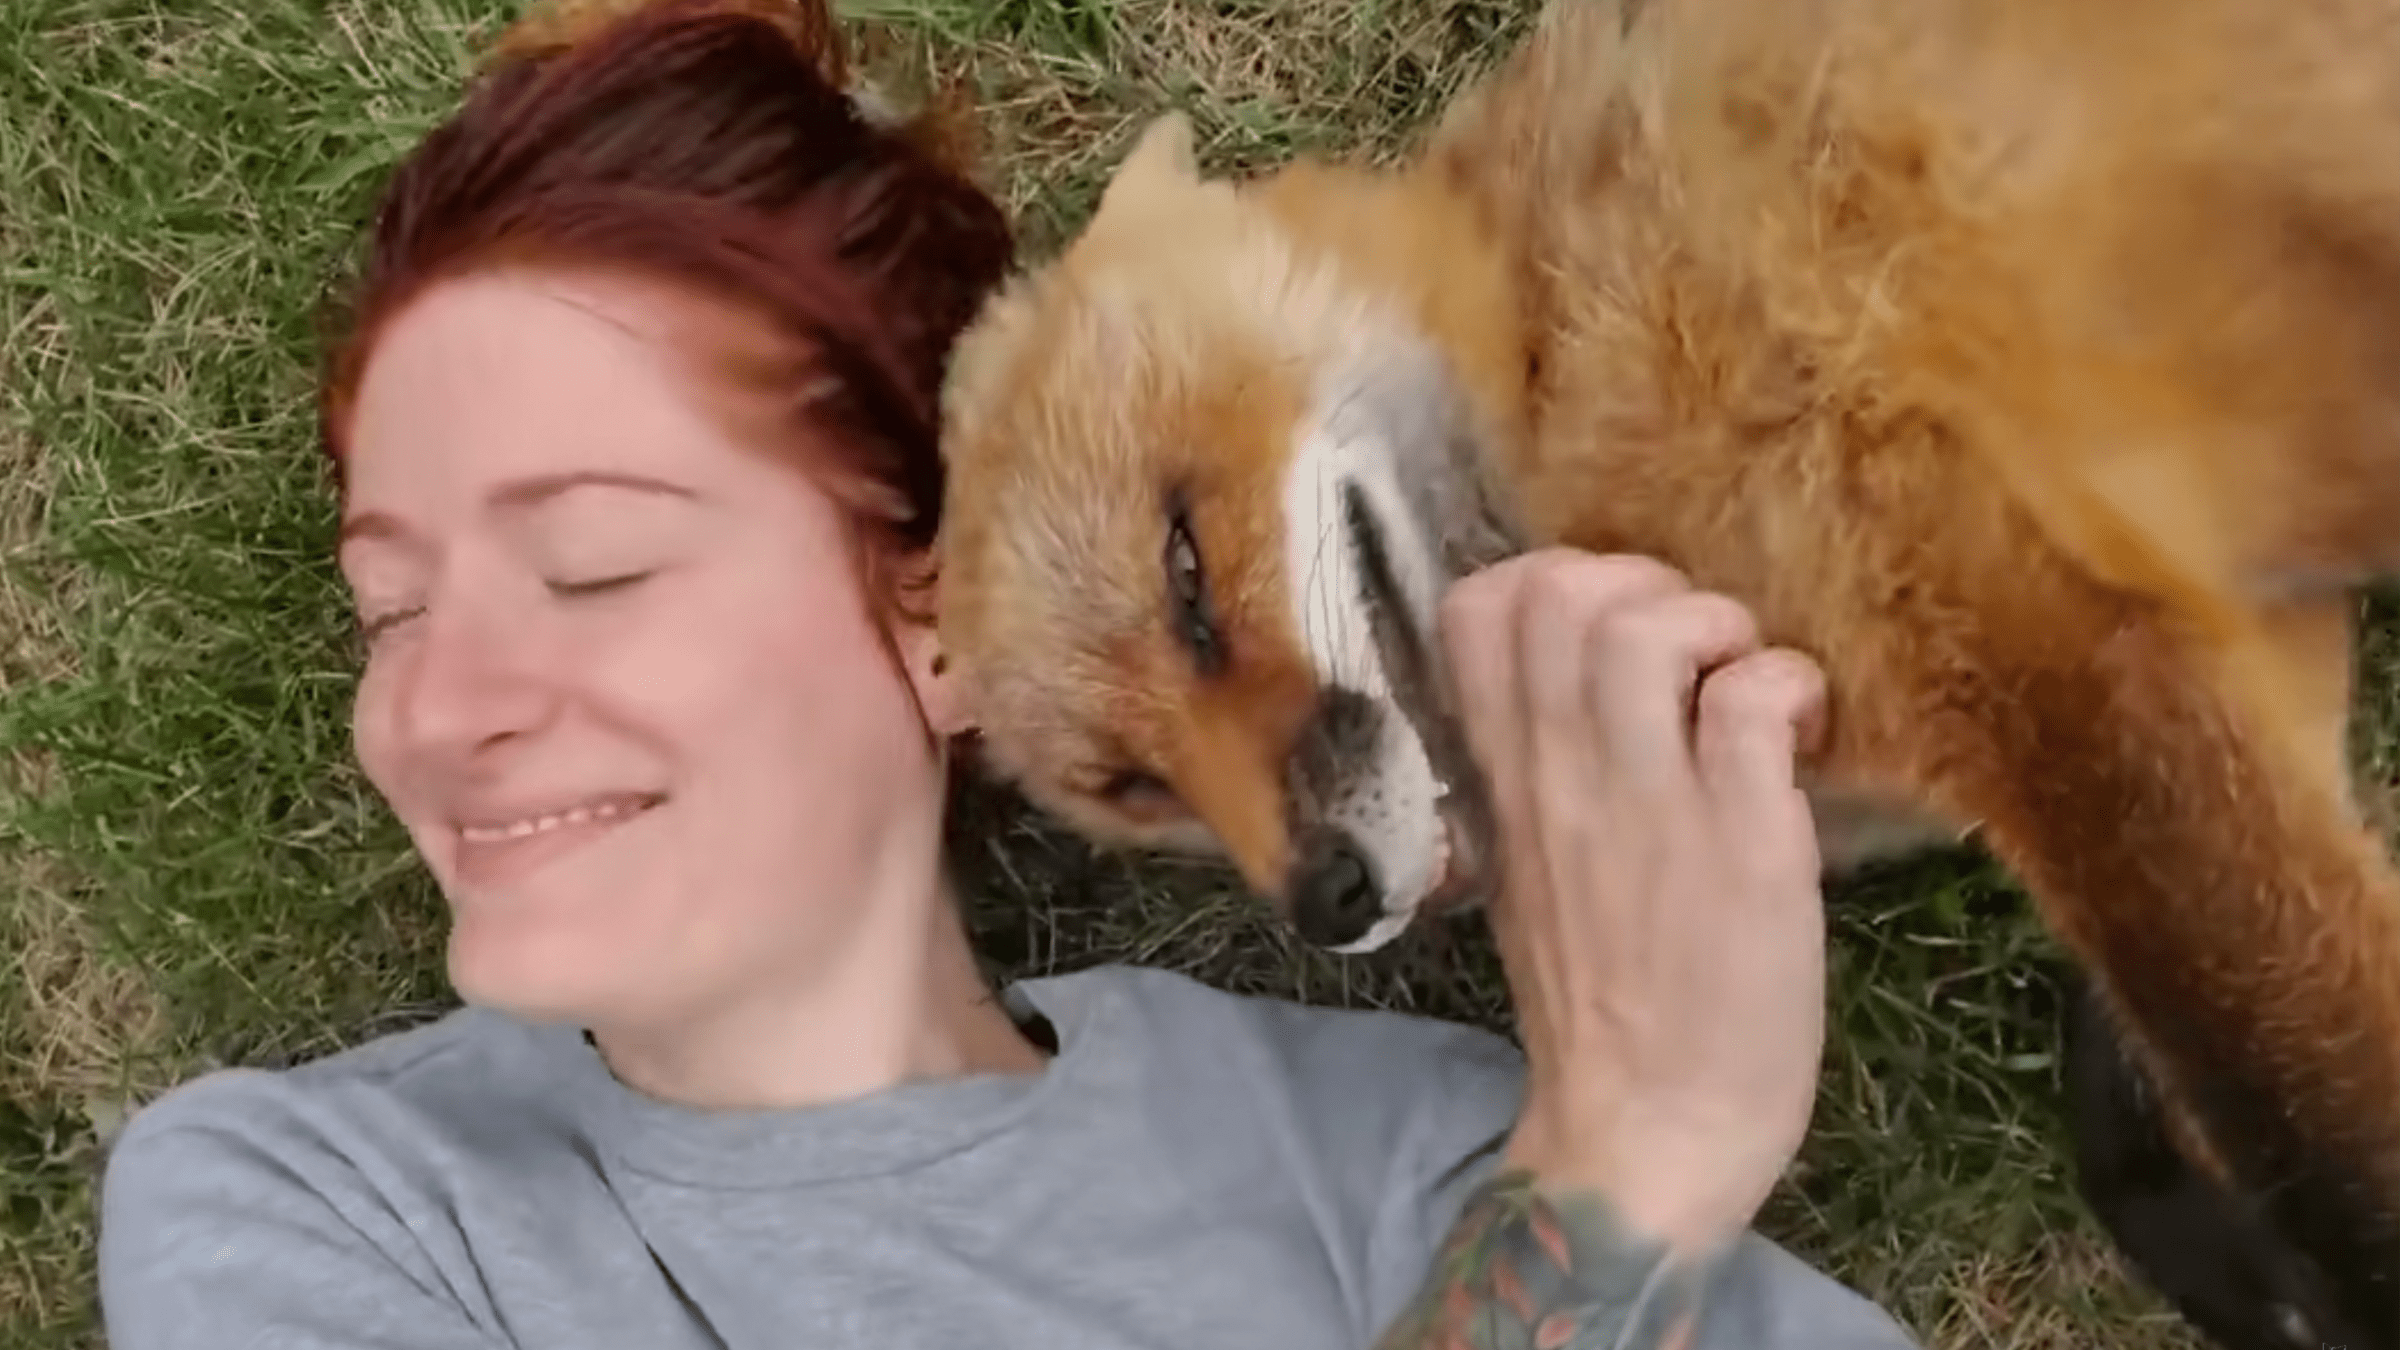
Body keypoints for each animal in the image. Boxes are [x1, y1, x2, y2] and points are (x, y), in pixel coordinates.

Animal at [928, 0, 2400, 1344]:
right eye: (1133, 782)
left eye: (1184, 568)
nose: (1326, 897)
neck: (1549, 331)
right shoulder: (2236, 650)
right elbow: (2146, 1123)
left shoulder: (2026, 626)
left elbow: (2319, 1136)